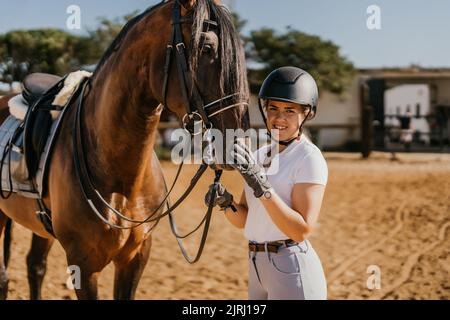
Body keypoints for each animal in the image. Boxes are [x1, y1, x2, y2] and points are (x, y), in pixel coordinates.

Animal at [0, 0, 250, 300]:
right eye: (207, 48)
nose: (238, 141)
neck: (121, 180)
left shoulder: (135, 258)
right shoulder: (83, 264)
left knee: (35, 266)